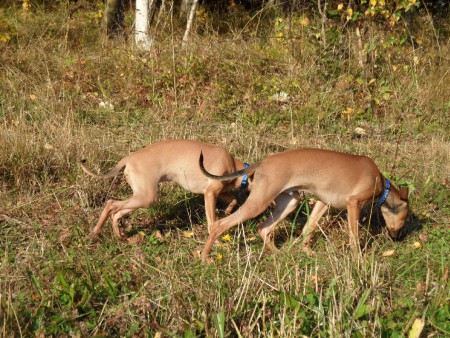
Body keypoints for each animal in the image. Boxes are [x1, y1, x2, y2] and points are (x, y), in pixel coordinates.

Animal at [80, 140, 250, 240]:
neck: (233, 165)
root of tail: (128, 158)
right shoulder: (210, 194)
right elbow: (211, 221)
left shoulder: (218, 192)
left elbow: (233, 200)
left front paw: (226, 212)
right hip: (146, 197)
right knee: (111, 204)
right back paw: (97, 233)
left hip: (141, 197)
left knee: (115, 212)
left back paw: (119, 235)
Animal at [199, 148, 410, 262]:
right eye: (405, 218)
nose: (398, 238)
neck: (381, 183)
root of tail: (262, 163)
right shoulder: (354, 204)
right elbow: (354, 237)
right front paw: (358, 258)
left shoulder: (322, 203)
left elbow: (308, 228)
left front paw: (307, 252)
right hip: (259, 203)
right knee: (218, 225)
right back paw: (204, 258)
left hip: (289, 202)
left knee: (263, 228)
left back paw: (278, 253)